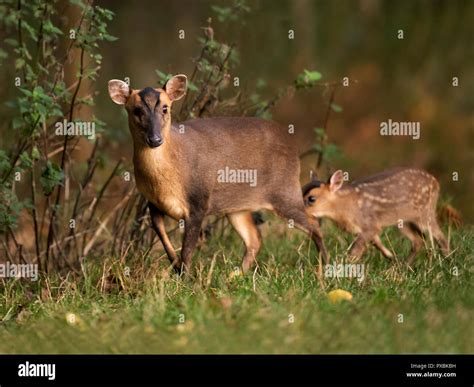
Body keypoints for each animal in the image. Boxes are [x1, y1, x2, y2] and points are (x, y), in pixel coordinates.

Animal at [109, 75, 328, 276]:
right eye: (137, 110)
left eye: (165, 108)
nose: (155, 139)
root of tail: (292, 144)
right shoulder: (152, 202)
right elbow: (162, 236)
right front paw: (177, 267)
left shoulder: (198, 201)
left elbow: (188, 249)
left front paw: (186, 277)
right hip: (237, 206)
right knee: (255, 238)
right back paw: (235, 275)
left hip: (284, 190)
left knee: (313, 223)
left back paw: (324, 268)